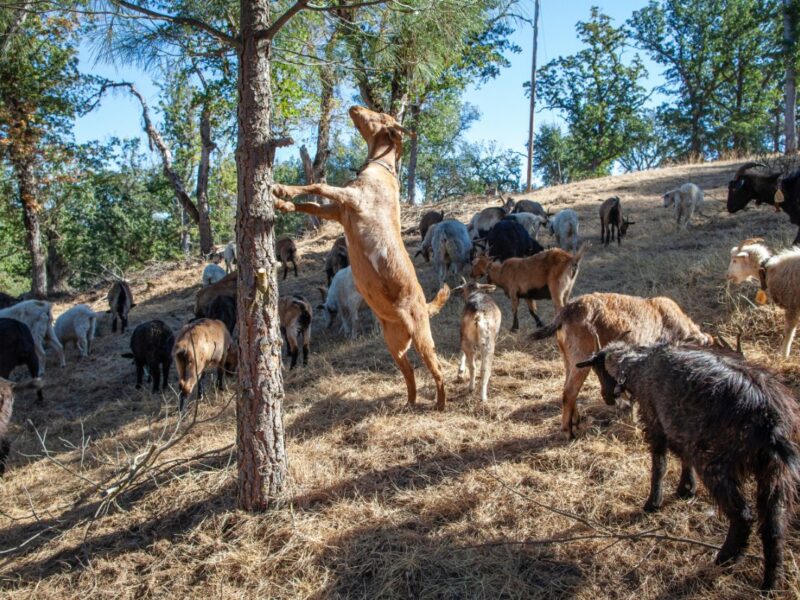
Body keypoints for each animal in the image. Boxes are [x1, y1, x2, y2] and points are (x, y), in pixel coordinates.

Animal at [273, 105, 451, 409]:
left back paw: (440, 404)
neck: (381, 169)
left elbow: (317, 187)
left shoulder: (350, 198)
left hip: (421, 338)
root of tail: (424, 306)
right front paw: (281, 202)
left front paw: (281, 188)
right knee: (409, 372)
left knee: (437, 369)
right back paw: (409, 402)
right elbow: (309, 204)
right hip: (394, 344)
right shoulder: (337, 210)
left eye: (379, 115)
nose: (355, 107)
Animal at [531, 292, 713, 439]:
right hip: (580, 356)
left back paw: (576, 420)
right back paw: (568, 432)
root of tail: (565, 313)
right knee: (569, 391)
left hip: (569, 359)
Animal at [578, 341, 800, 590]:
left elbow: (659, 465)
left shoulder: (656, 423)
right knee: (774, 528)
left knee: (743, 516)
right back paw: (770, 583)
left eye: (597, 371)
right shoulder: (681, 429)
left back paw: (727, 558)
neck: (637, 364)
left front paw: (653, 503)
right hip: (775, 473)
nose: (606, 398)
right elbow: (684, 459)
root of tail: (770, 420)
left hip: (715, 462)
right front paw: (686, 489)